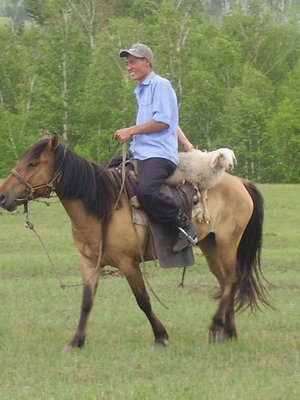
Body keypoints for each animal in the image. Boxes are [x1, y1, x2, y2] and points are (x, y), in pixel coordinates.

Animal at [0, 134, 270, 350]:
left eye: (33, 163)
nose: (3, 196)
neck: (103, 206)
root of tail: (240, 182)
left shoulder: (128, 263)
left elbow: (143, 300)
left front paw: (160, 336)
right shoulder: (89, 262)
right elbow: (87, 302)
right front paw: (76, 341)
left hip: (227, 243)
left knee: (233, 278)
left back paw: (216, 326)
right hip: (210, 245)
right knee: (225, 282)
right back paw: (228, 331)